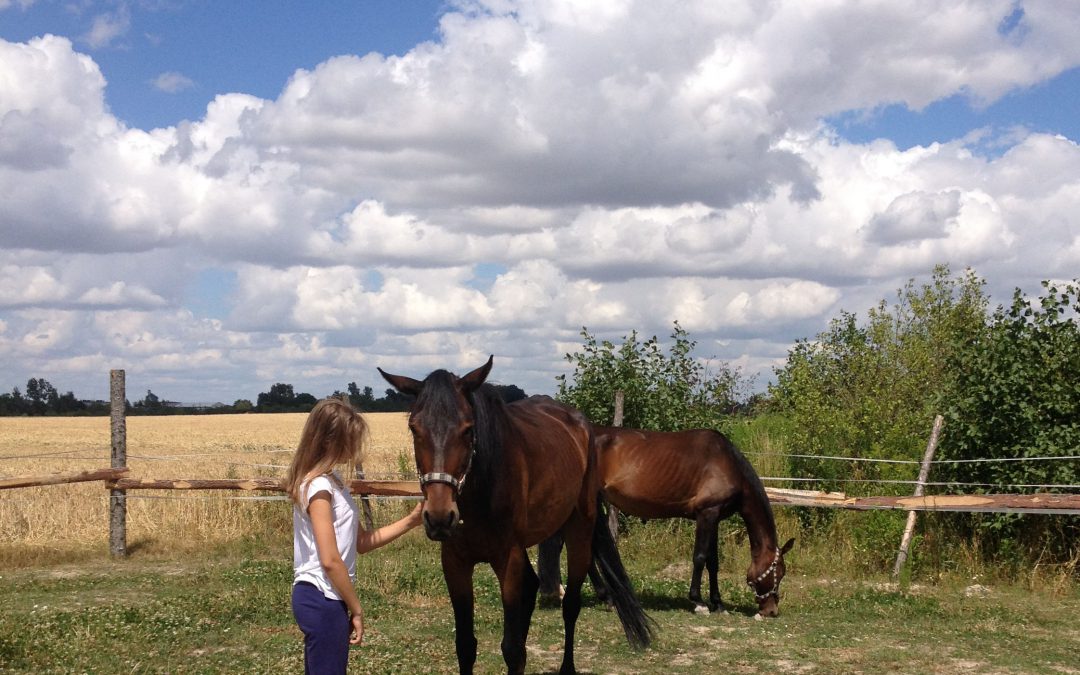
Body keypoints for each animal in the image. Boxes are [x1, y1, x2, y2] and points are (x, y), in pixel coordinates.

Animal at [380, 356, 648, 669]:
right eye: (414, 428)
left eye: (468, 429)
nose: (439, 518)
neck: (481, 497)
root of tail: (581, 426)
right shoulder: (456, 564)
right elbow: (465, 645)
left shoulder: (508, 561)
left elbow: (512, 649)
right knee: (532, 588)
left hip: (579, 531)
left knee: (571, 605)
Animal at [537, 425, 794, 617]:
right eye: (779, 573)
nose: (771, 611)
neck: (727, 463)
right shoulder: (707, 514)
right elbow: (700, 557)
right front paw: (698, 602)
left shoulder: (714, 517)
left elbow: (713, 562)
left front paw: (718, 603)